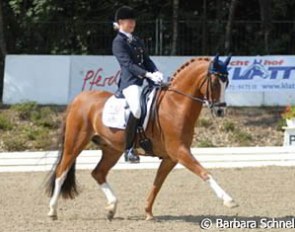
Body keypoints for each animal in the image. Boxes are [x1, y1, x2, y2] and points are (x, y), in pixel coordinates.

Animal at [47, 54, 239, 221]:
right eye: (214, 82)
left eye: (227, 82)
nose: (220, 111)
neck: (175, 105)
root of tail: (78, 98)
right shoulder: (179, 151)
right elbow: (204, 172)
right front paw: (228, 200)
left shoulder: (170, 157)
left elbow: (157, 184)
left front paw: (148, 213)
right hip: (75, 143)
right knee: (61, 172)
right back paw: (52, 211)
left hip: (112, 149)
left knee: (98, 172)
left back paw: (111, 208)